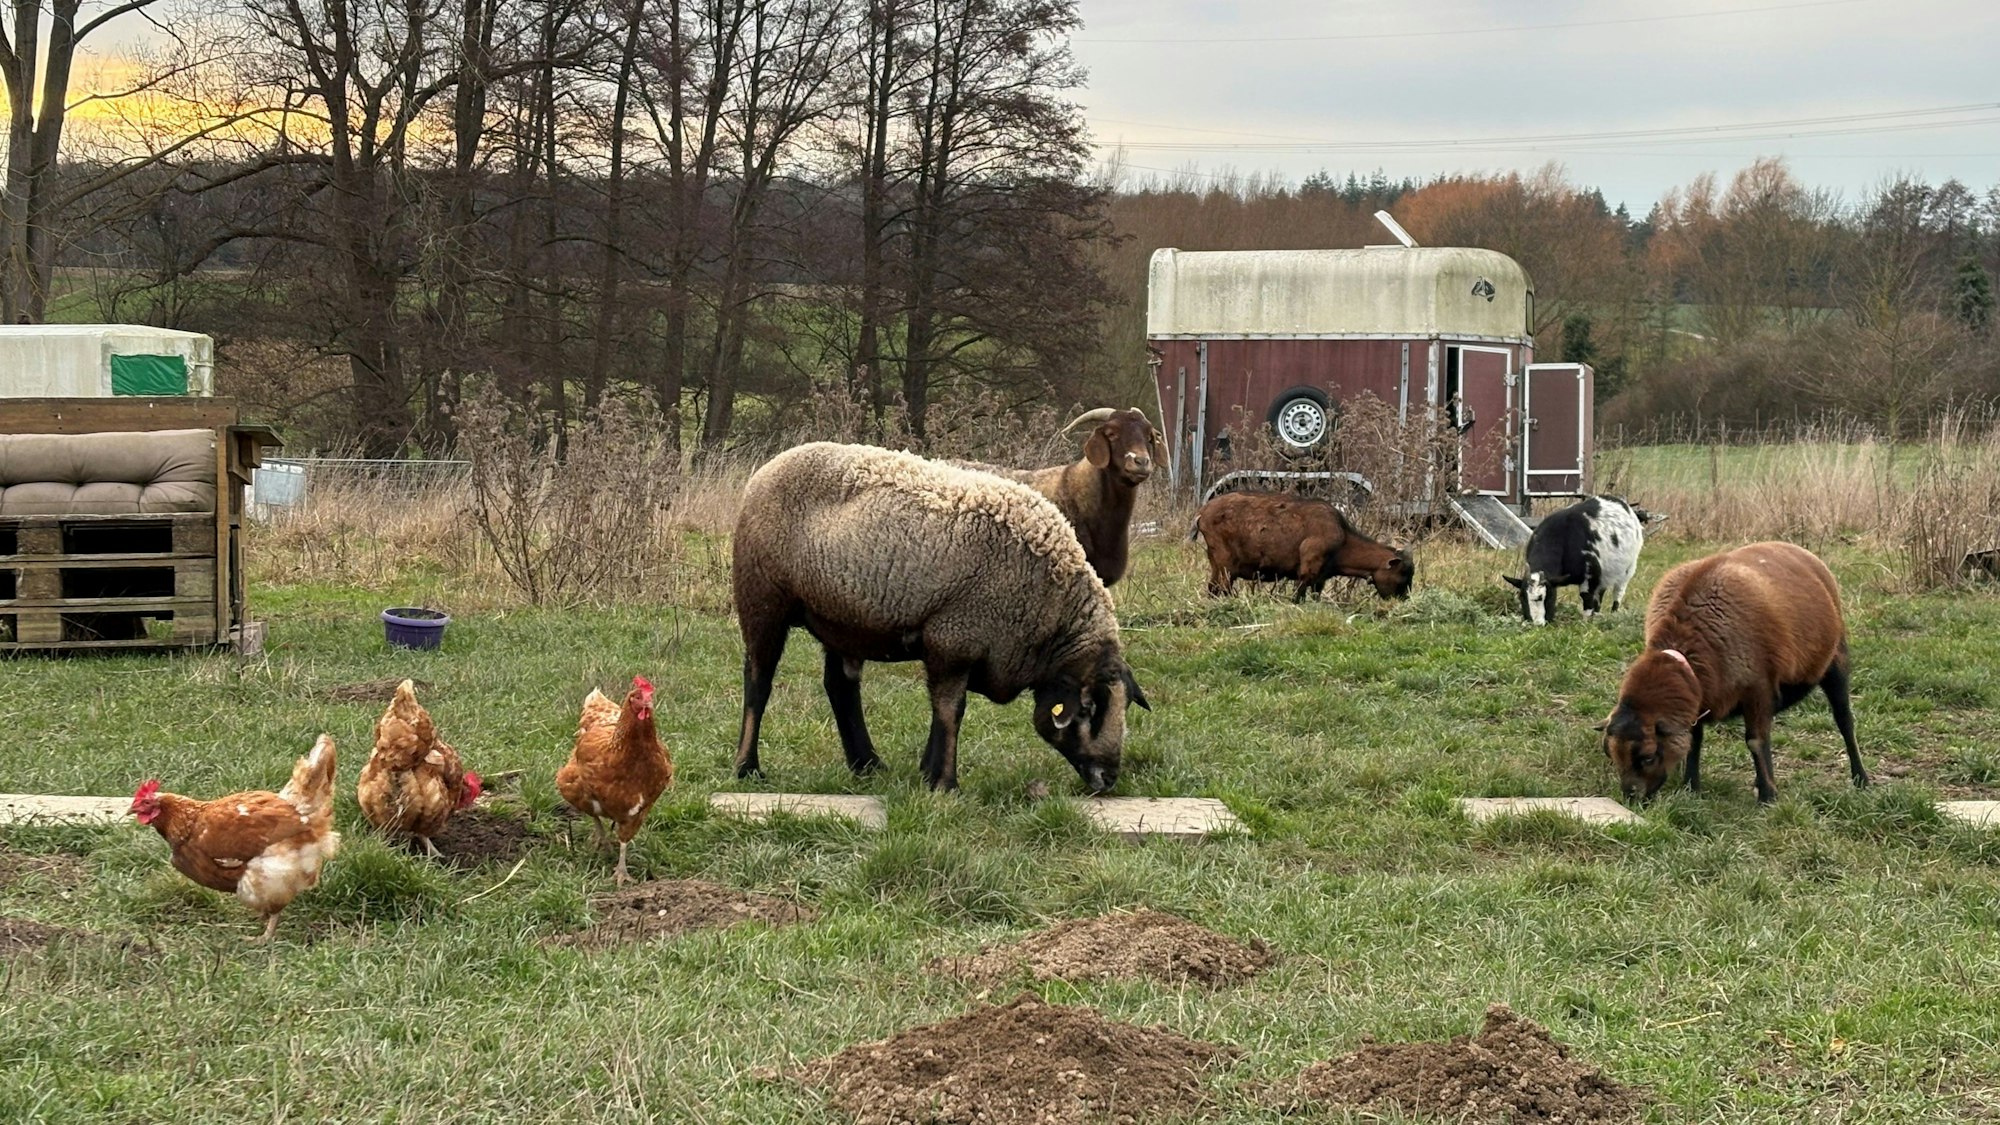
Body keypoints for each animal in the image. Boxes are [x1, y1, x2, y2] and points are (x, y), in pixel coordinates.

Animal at [731, 441, 1150, 793]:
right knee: (758, 679)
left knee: (840, 687)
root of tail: (769, 467)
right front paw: (945, 783)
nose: (1108, 778)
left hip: (842, 617)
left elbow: (941, 710)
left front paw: (927, 773)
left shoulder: (952, 649)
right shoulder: (953, 637)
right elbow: (951, 711)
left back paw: (866, 764)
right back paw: (747, 767)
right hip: (761, 598)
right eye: (1089, 709)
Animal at [1189, 490, 1413, 601]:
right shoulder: (1308, 570)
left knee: (1212, 589)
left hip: (1217, 564)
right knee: (1221, 589)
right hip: (1225, 564)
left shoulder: (1319, 580)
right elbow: (1298, 597)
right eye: (1403, 573)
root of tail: (1202, 513)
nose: (1404, 599)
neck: (1343, 540)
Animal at [1503, 495, 1644, 625]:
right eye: (1521, 597)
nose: (1537, 624)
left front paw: (1585, 623)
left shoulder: (1590, 574)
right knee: (1600, 593)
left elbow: (1587, 597)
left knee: (1618, 593)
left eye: (1549, 597)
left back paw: (1613, 614)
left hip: (1628, 569)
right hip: (1605, 573)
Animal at [1598, 540, 1868, 804]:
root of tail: (1798, 549)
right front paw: (1691, 787)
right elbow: (1695, 741)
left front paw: (1768, 796)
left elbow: (1756, 741)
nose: (1632, 798)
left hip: (1835, 661)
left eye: (1648, 757)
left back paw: (1861, 779)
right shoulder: (1701, 699)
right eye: (1609, 754)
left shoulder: (1758, 688)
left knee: (1844, 721)